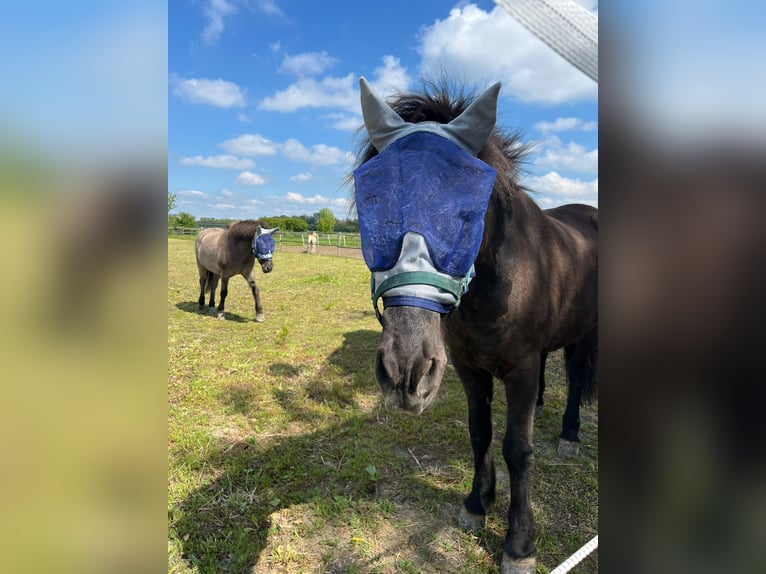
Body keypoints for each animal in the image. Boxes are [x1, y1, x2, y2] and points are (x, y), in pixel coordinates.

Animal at [352, 78, 597, 573]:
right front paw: (476, 505)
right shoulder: (468, 368)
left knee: (578, 380)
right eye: (372, 202)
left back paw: (569, 436)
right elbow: (480, 432)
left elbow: (518, 450)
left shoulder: (520, 369)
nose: (405, 370)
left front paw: (519, 546)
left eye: (467, 211)